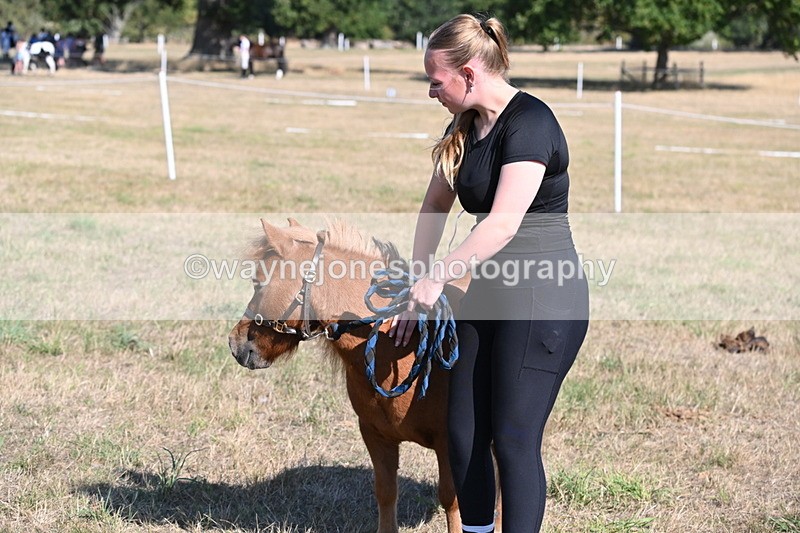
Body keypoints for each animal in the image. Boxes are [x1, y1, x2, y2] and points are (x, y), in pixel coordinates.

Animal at [228, 218, 481, 533]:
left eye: (258, 282)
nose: (235, 343)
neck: (398, 349)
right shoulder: (375, 436)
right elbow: (386, 493)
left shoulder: (450, 444)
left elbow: (452, 500)